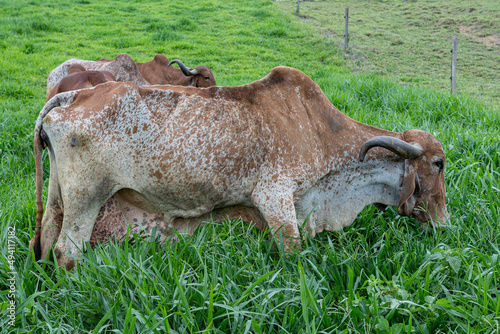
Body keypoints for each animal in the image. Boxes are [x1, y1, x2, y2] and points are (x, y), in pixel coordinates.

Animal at [29, 66, 448, 270]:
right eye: (439, 163)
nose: (444, 224)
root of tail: (77, 94)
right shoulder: (276, 198)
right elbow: (293, 253)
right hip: (87, 198)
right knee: (66, 252)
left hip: (58, 198)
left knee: (47, 239)